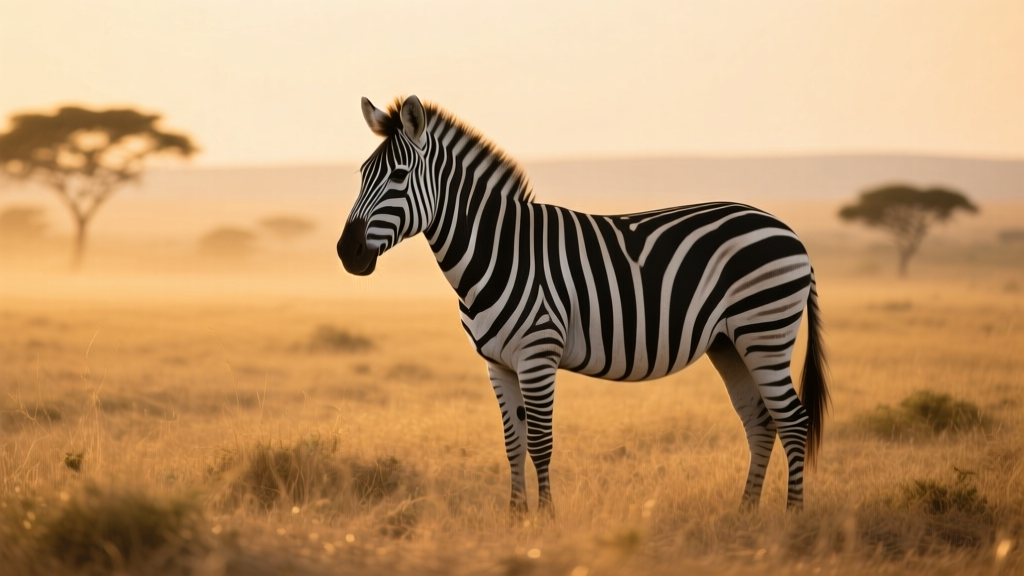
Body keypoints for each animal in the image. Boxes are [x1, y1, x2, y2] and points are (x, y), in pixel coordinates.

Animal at [338, 95, 830, 514]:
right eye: (361, 174)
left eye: (399, 176)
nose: (347, 252)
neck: (499, 250)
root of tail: (788, 231)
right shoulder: (497, 363)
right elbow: (512, 443)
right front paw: (515, 518)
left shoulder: (537, 353)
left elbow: (540, 442)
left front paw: (545, 519)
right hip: (729, 344)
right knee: (760, 422)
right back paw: (745, 514)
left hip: (765, 332)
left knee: (793, 421)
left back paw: (792, 518)